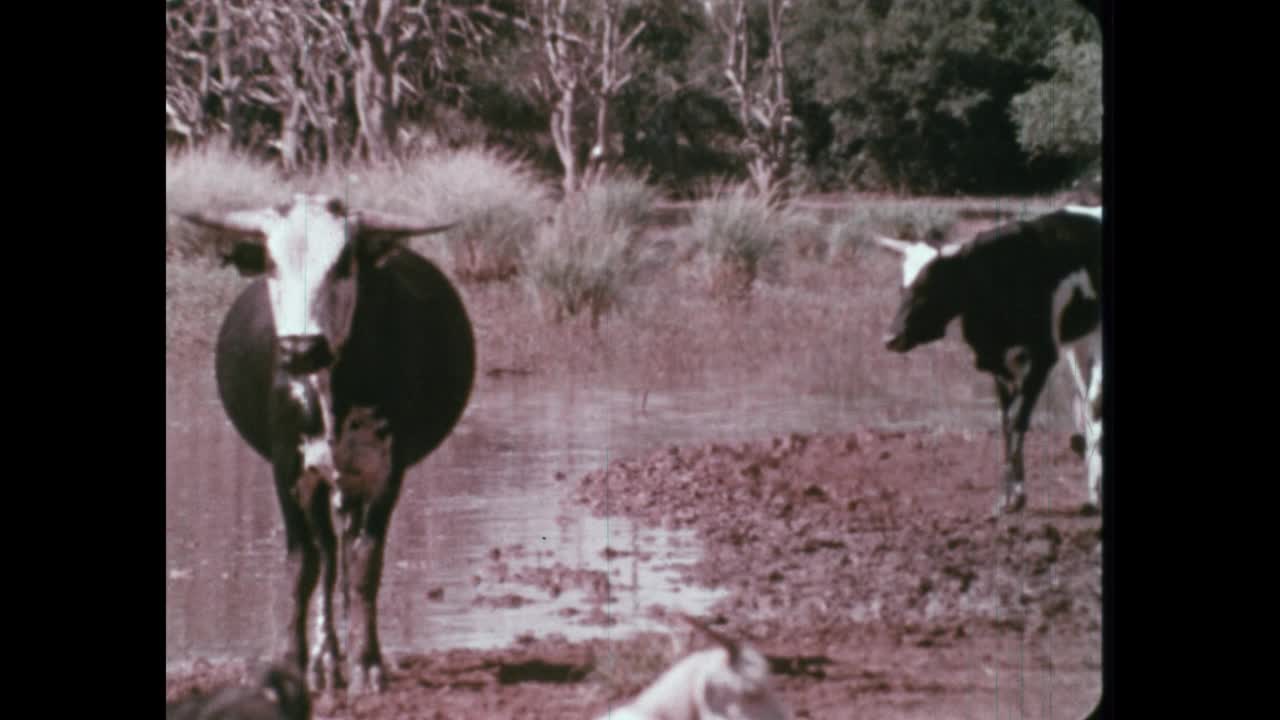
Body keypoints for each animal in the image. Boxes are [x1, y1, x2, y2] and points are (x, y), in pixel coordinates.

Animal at [180, 194, 476, 696]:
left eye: (341, 264)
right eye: (272, 264)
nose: (301, 349)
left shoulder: (385, 472)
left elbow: (365, 564)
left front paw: (367, 663)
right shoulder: (289, 471)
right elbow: (303, 566)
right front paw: (295, 661)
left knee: (344, 554)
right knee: (327, 555)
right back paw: (324, 659)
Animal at [875, 204, 1105, 512]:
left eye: (930, 286)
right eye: (902, 288)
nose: (891, 338)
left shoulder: (1042, 358)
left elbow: (1018, 420)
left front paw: (1016, 495)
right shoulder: (999, 365)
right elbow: (1006, 423)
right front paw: (1007, 497)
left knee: (1094, 403)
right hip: (1080, 343)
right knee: (1088, 400)